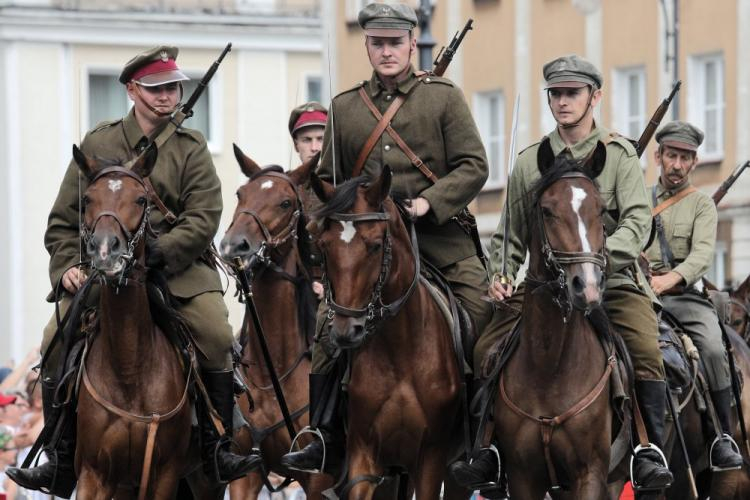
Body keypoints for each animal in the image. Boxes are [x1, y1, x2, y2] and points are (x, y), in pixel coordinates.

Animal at [71, 146, 222, 498]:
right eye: (87, 199)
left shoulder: (164, 474)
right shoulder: (94, 474)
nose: (105, 250)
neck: (129, 369)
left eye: (141, 199)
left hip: (205, 480)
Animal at [310, 168, 470, 500]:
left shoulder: (431, 458)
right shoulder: (365, 455)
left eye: (374, 245)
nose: (345, 332)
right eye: (324, 246)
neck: (401, 350)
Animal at [494, 143, 616, 498]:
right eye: (547, 211)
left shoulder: (590, 474)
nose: (587, 286)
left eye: (601, 210)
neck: (550, 366)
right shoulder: (523, 476)